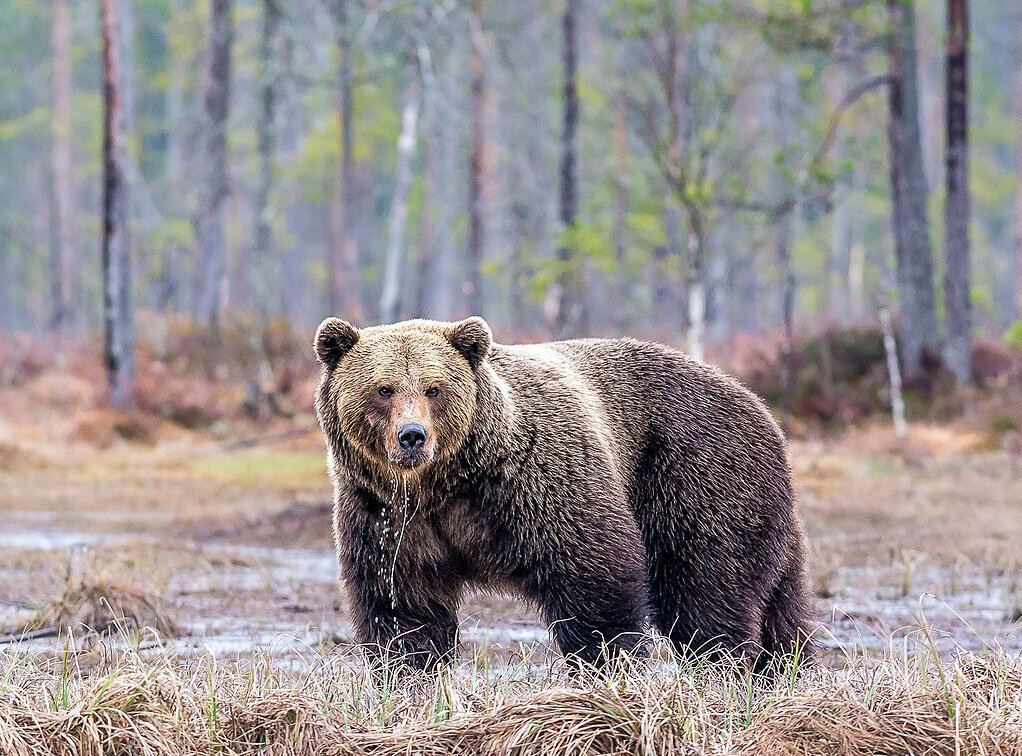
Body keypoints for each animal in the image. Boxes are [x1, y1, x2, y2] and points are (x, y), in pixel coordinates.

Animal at [314, 316, 809, 670]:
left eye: (435, 388)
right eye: (384, 388)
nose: (412, 436)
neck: (447, 483)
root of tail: (759, 406)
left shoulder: (537, 484)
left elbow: (595, 578)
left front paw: (603, 666)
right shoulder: (389, 515)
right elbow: (402, 604)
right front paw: (410, 672)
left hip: (696, 475)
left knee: (706, 593)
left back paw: (725, 667)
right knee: (781, 610)